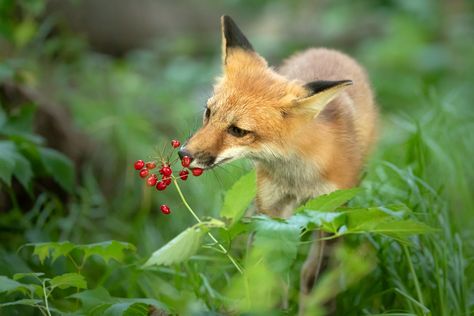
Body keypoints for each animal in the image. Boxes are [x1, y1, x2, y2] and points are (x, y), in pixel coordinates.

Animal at [180, 14, 380, 304]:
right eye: (208, 113)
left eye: (238, 131)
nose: (183, 154)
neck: (299, 177)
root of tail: (326, 49)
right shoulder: (272, 214)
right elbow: (267, 275)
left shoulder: (330, 214)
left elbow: (313, 279)